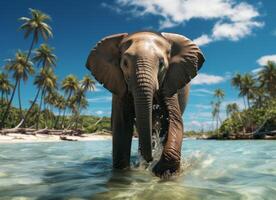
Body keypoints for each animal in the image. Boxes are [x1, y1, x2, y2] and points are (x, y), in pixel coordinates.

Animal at [86, 31, 205, 177]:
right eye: (125, 63)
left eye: (161, 64)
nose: (151, 159)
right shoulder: (119, 84)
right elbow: (122, 125)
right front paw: (124, 172)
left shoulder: (171, 80)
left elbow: (174, 120)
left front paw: (161, 170)